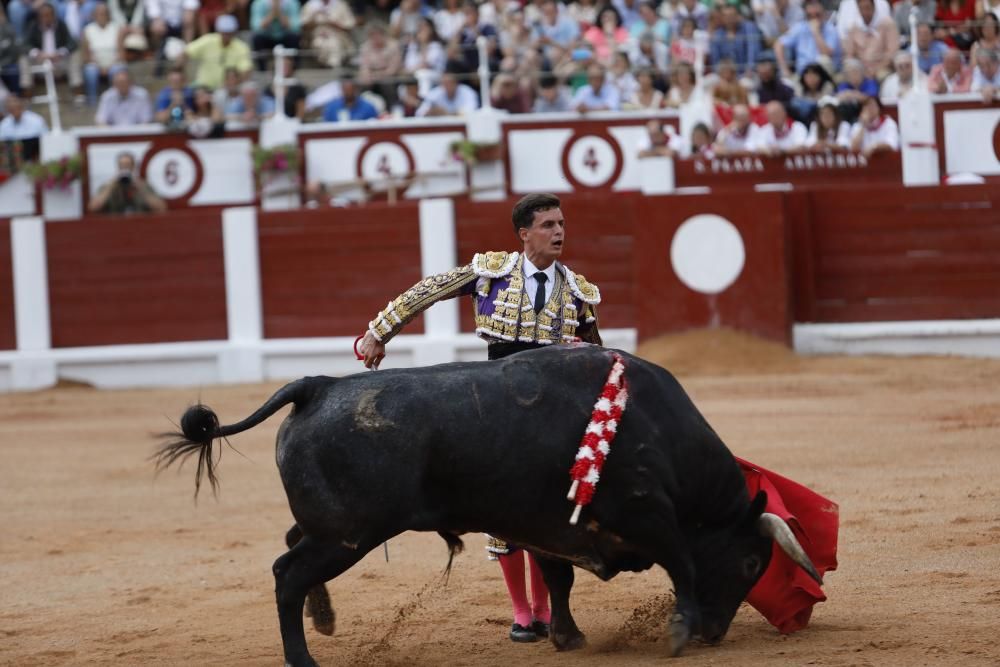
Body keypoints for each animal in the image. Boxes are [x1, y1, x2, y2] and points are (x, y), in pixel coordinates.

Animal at [152, 348, 816, 664]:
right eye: (751, 564)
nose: (713, 633)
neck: (656, 426)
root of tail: (318, 386)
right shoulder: (649, 515)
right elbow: (682, 563)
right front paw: (677, 632)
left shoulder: (550, 526)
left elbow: (558, 579)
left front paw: (567, 637)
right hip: (349, 533)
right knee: (286, 574)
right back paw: (304, 657)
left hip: (327, 526)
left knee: (290, 551)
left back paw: (325, 620)